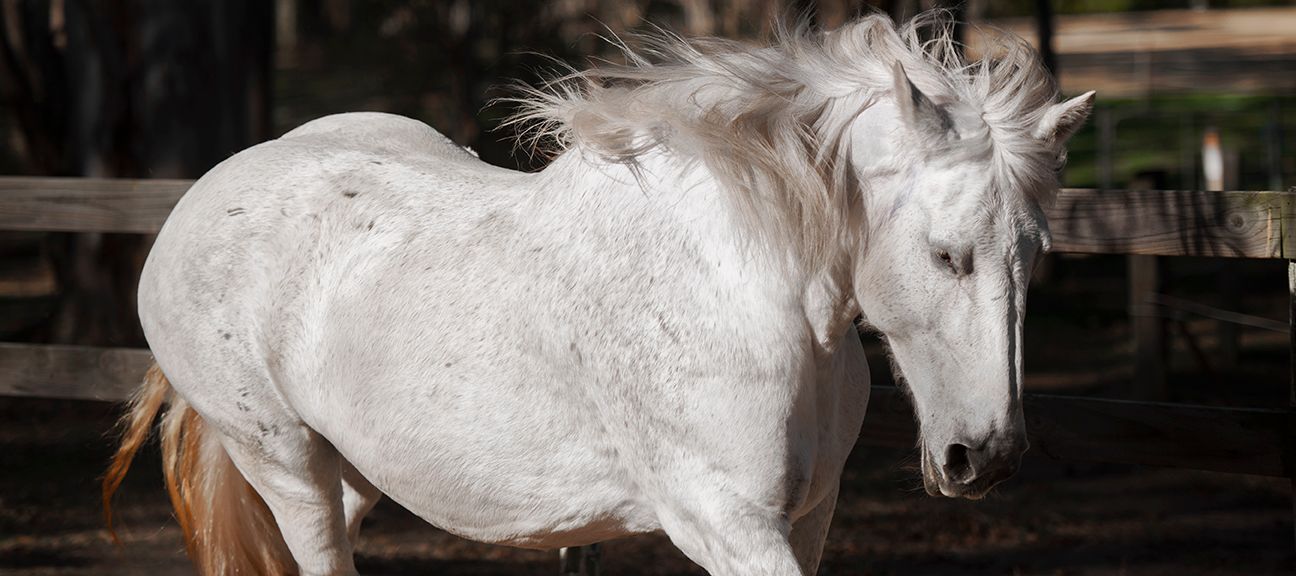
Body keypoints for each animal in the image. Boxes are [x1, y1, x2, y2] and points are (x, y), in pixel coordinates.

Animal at [102, 13, 1092, 576]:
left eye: (1036, 254)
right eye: (946, 254)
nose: (985, 457)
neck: (747, 295)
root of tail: (200, 197)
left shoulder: (811, 518)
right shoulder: (723, 521)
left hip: (347, 470)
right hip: (282, 460)